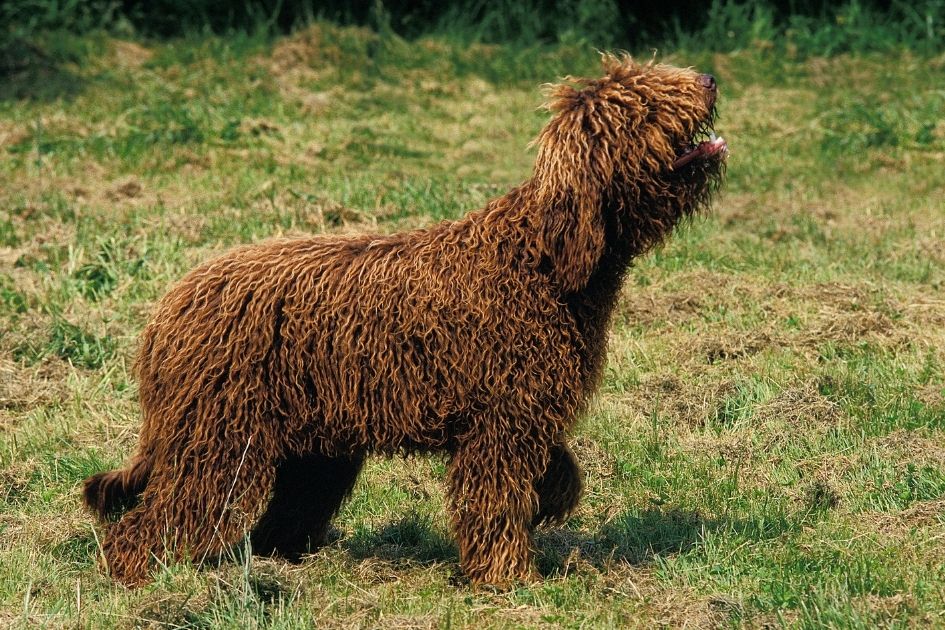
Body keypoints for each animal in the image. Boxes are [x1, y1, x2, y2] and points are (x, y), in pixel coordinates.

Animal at [85, 54, 728, 588]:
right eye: (645, 102)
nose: (708, 79)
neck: (544, 260)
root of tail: (168, 308)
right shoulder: (499, 422)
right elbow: (495, 501)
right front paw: (508, 579)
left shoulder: (528, 409)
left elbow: (556, 471)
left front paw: (550, 500)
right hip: (218, 439)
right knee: (157, 520)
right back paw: (140, 576)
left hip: (313, 445)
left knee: (276, 520)